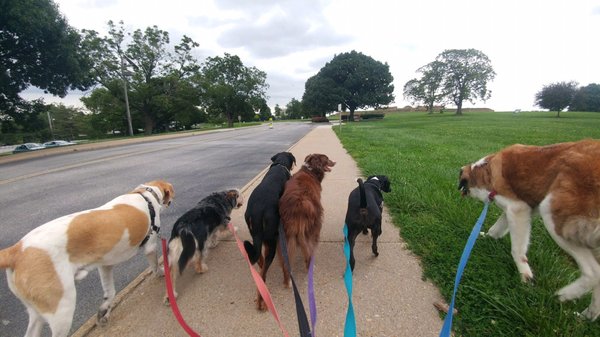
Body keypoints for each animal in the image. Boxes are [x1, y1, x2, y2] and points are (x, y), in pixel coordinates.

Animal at [0, 180, 175, 334]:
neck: (145, 195)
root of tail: (15, 250)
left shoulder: (105, 265)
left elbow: (110, 292)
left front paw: (104, 311)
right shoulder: (150, 247)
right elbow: (154, 265)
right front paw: (161, 272)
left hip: (36, 314)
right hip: (62, 309)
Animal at [244, 151, 296, 308]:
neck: (280, 164)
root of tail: (257, 212)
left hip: (257, 236)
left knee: (259, 261)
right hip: (271, 240)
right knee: (263, 272)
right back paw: (262, 302)